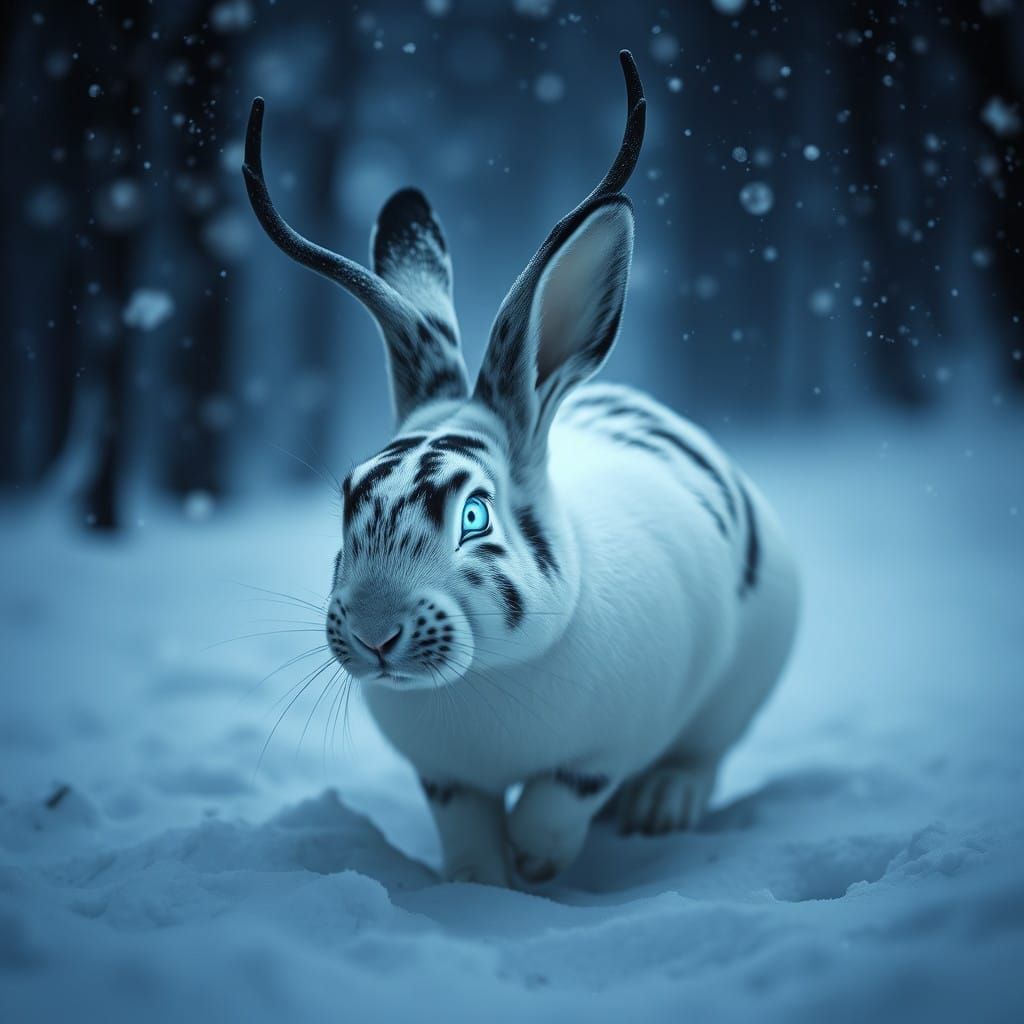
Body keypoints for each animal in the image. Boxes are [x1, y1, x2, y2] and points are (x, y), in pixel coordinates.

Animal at [242, 51, 799, 888]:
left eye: (475, 515)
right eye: (348, 498)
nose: (374, 633)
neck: (487, 678)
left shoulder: (609, 746)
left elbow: (559, 798)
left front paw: (538, 863)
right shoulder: (444, 778)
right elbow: (466, 824)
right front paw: (480, 882)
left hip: (738, 686)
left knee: (703, 756)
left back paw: (659, 806)